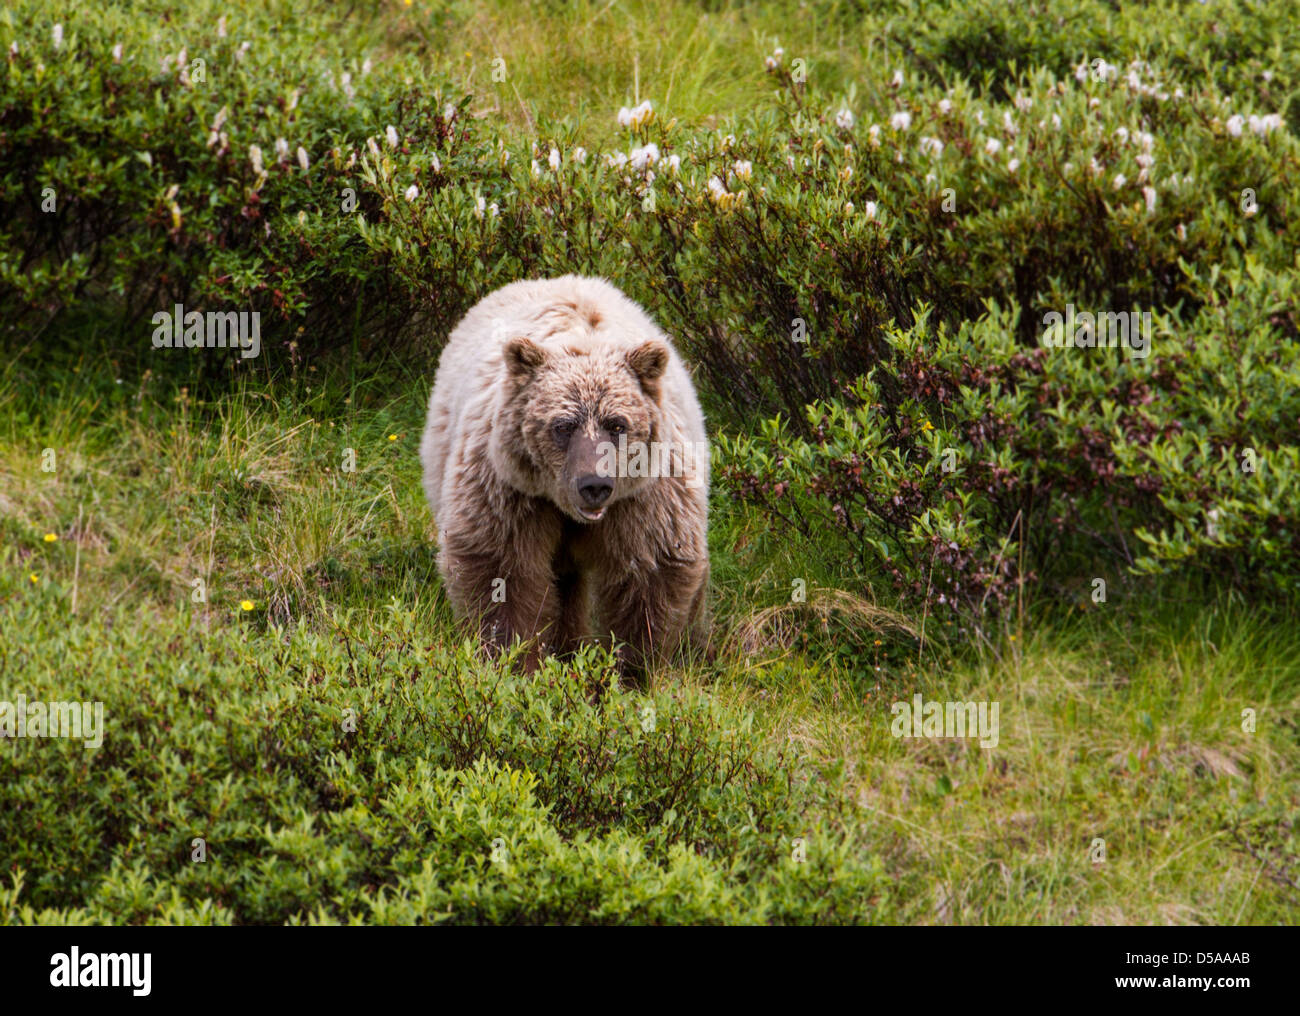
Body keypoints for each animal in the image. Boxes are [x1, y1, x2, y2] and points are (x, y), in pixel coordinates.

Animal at [420, 275, 710, 681]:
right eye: (563, 425)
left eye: (617, 424)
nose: (594, 486)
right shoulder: (509, 488)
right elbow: (502, 570)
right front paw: (515, 663)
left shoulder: (646, 496)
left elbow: (648, 574)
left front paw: (631, 672)